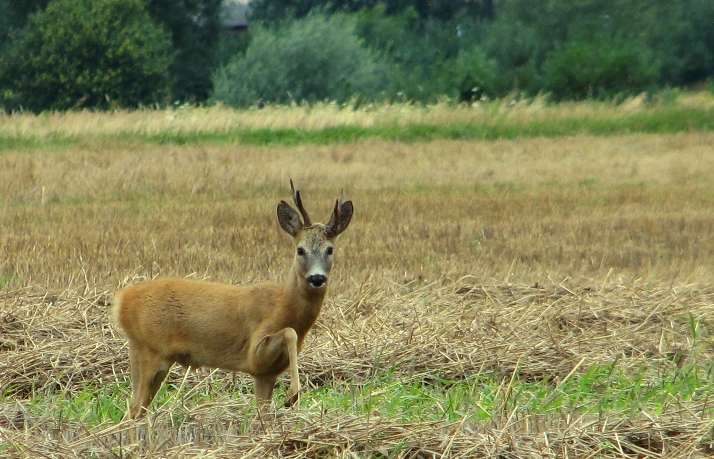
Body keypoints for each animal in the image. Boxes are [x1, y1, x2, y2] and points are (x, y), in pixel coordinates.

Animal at [110, 181, 350, 420]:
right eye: (300, 250)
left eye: (330, 249)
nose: (317, 278)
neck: (283, 305)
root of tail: (122, 300)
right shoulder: (255, 351)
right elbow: (289, 333)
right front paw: (292, 395)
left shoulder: (265, 373)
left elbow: (263, 412)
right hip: (149, 349)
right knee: (134, 409)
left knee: (135, 409)